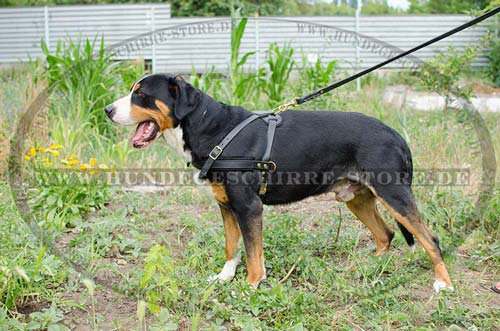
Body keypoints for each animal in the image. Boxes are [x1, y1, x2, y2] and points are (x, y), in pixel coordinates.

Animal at [104, 74, 454, 294]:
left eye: (141, 94)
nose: (107, 109)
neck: (213, 128)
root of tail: (395, 134)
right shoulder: (226, 205)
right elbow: (232, 246)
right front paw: (224, 277)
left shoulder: (249, 206)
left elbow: (252, 253)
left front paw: (251, 286)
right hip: (358, 198)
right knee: (386, 234)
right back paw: (367, 267)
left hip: (393, 194)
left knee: (430, 239)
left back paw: (444, 284)